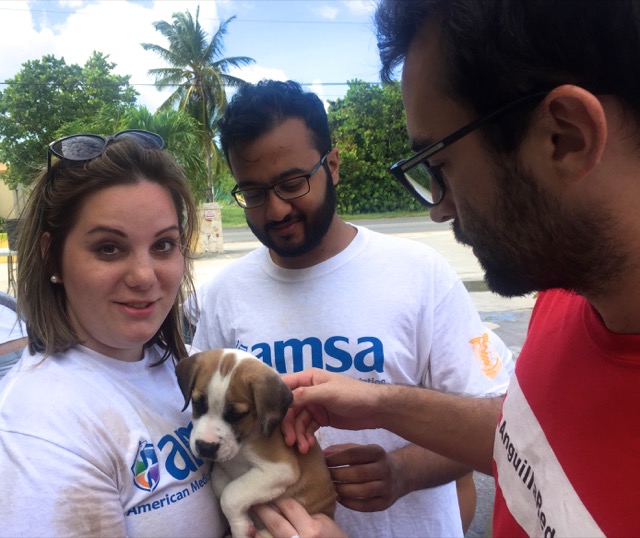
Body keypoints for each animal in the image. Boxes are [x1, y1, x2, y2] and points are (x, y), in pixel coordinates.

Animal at [174, 348, 336, 536]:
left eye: (236, 415)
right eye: (197, 403)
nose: (206, 447)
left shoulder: (280, 468)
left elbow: (230, 493)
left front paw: (241, 528)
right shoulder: (223, 468)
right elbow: (219, 483)